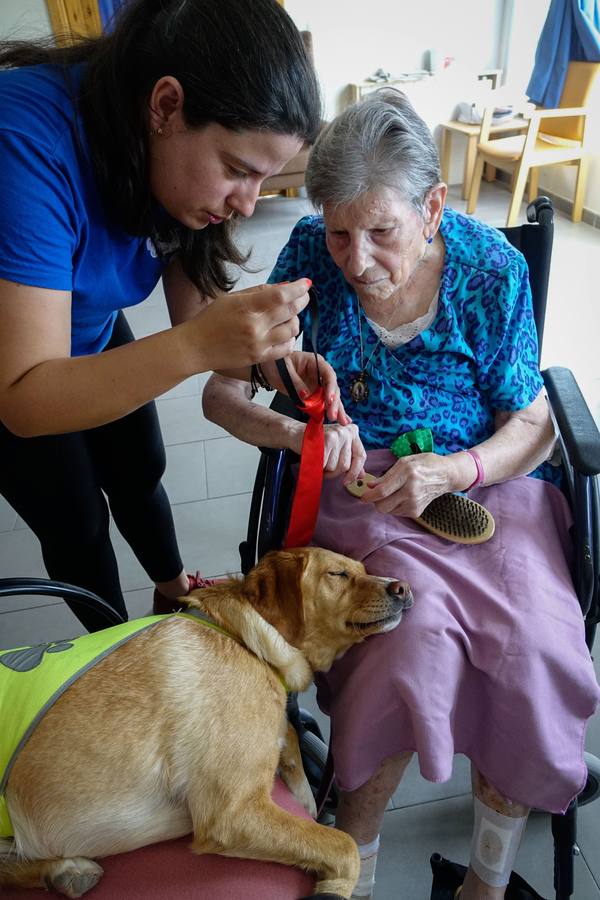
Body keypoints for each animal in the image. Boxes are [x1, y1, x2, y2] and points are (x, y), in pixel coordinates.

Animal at [0, 544, 412, 896]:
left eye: (365, 569)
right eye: (338, 573)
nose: (403, 587)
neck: (248, 640)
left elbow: (290, 736)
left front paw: (305, 793)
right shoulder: (232, 813)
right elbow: (344, 845)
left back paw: (63, 872)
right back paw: (64, 870)